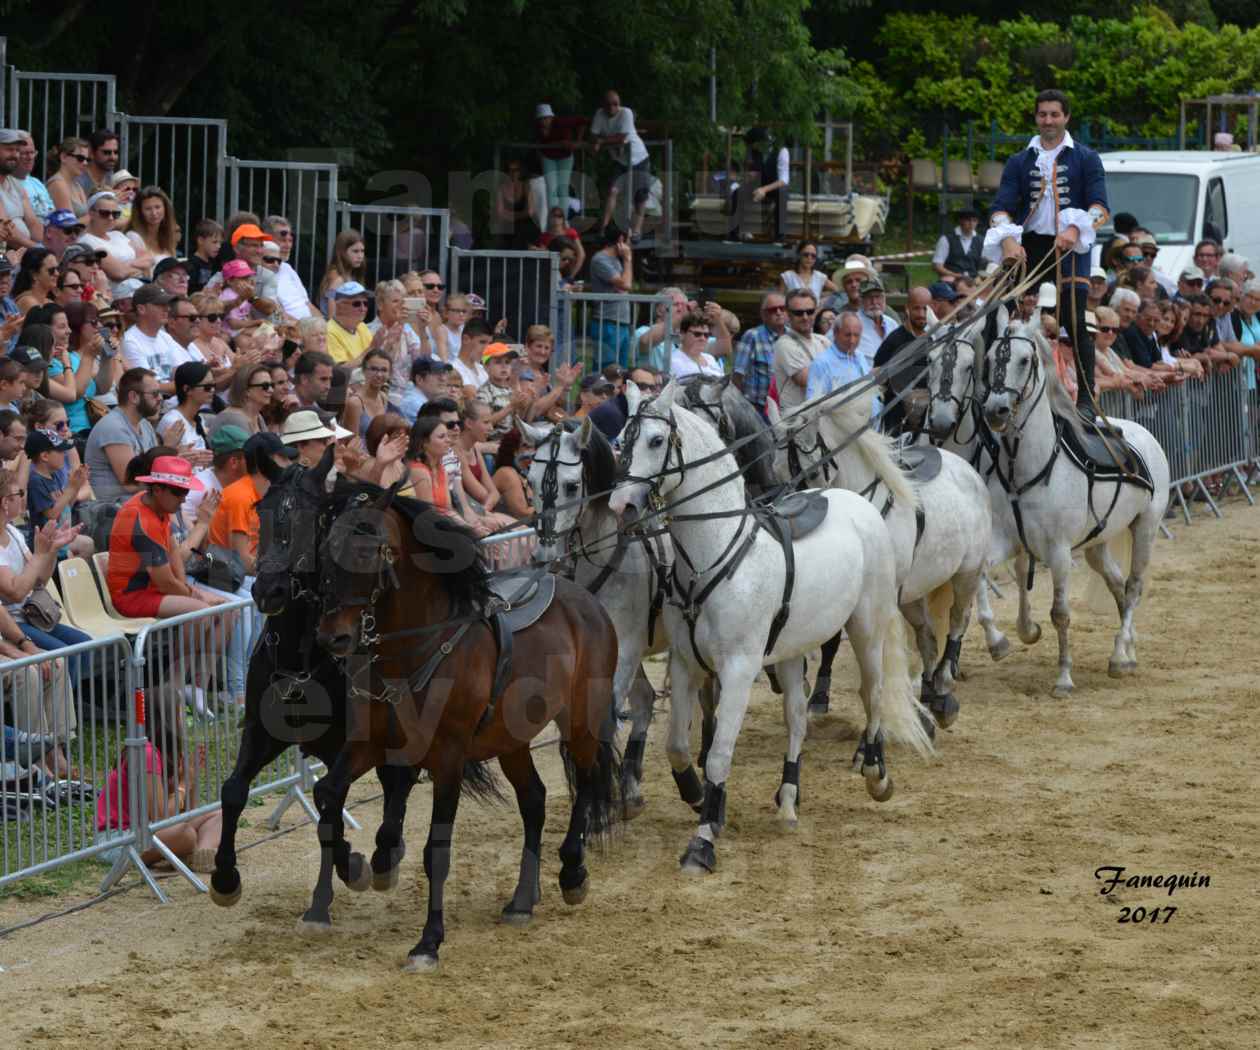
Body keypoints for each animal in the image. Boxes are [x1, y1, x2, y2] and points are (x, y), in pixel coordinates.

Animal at [207, 453, 418, 907]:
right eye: (260, 511)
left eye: (314, 517)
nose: (268, 590)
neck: (301, 657)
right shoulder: (263, 730)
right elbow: (233, 790)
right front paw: (225, 876)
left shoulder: (351, 744)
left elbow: (329, 804)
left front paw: (351, 863)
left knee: (400, 778)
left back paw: (386, 850)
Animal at [304, 478, 619, 973]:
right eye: (324, 550)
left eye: (367, 550)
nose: (333, 636)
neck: (413, 647)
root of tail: (583, 599)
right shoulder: (368, 744)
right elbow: (328, 796)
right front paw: (334, 891)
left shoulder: (448, 758)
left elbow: (437, 850)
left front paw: (428, 942)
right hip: (511, 740)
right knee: (534, 800)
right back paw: (522, 900)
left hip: (581, 720)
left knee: (585, 782)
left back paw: (572, 871)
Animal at [609, 380, 937, 872]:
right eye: (620, 442)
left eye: (655, 440)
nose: (621, 505)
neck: (712, 556)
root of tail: (857, 503)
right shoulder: (687, 665)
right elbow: (678, 747)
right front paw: (699, 798)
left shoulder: (739, 670)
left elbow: (719, 754)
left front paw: (702, 842)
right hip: (791, 650)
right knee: (797, 719)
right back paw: (788, 798)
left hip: (866, 628)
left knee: (872, 693)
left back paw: (875, 772)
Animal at [977, 320, 1174, 695]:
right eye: (991, 357)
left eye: (1025, 360)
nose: (995, 411)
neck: (1027, 468)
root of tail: (1144, 435)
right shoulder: (1008, 540)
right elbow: (982, 575)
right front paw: (1004, 642)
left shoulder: (1058, 551)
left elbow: (1060, 613)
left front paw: (1064, 679)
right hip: (1098, 542)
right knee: (1117, 585)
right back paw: (1128, 652)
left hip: (1145, 528)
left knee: (1133, 587)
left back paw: (1118, 656)